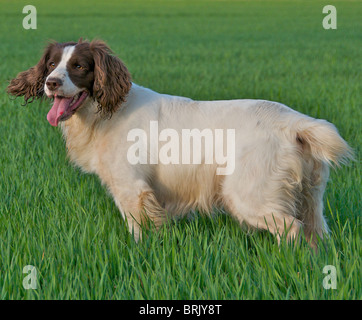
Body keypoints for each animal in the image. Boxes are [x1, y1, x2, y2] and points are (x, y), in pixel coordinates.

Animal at [5, 39, 352, 245]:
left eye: (79, 66)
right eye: (52, 64)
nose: (51, 83)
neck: (106, 113)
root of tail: (293, 122)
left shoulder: (132, 189)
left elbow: (138, 232)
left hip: (248, 195)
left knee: (291, 230)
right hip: (310, 196)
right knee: (315, 232)